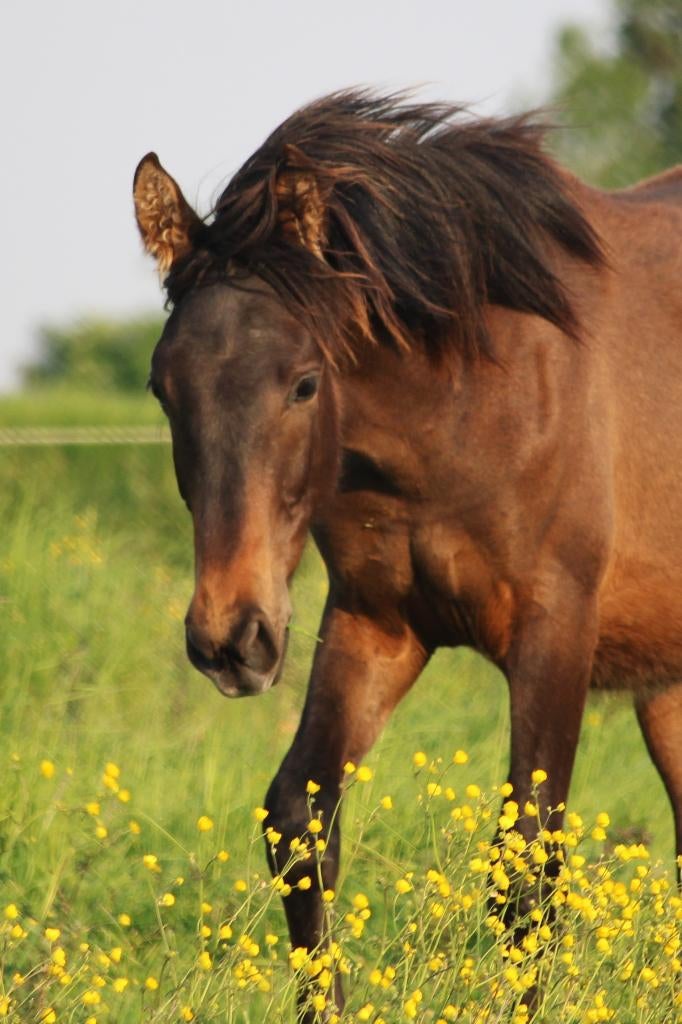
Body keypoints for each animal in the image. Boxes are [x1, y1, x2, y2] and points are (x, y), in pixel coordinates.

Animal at [133, 89, 682, 1018]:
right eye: (163, 388)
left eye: (304, 382)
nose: (231, 639)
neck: (476, 397)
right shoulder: (375, 623)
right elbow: (300, 824)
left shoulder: (557, 631)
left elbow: (528, 869)